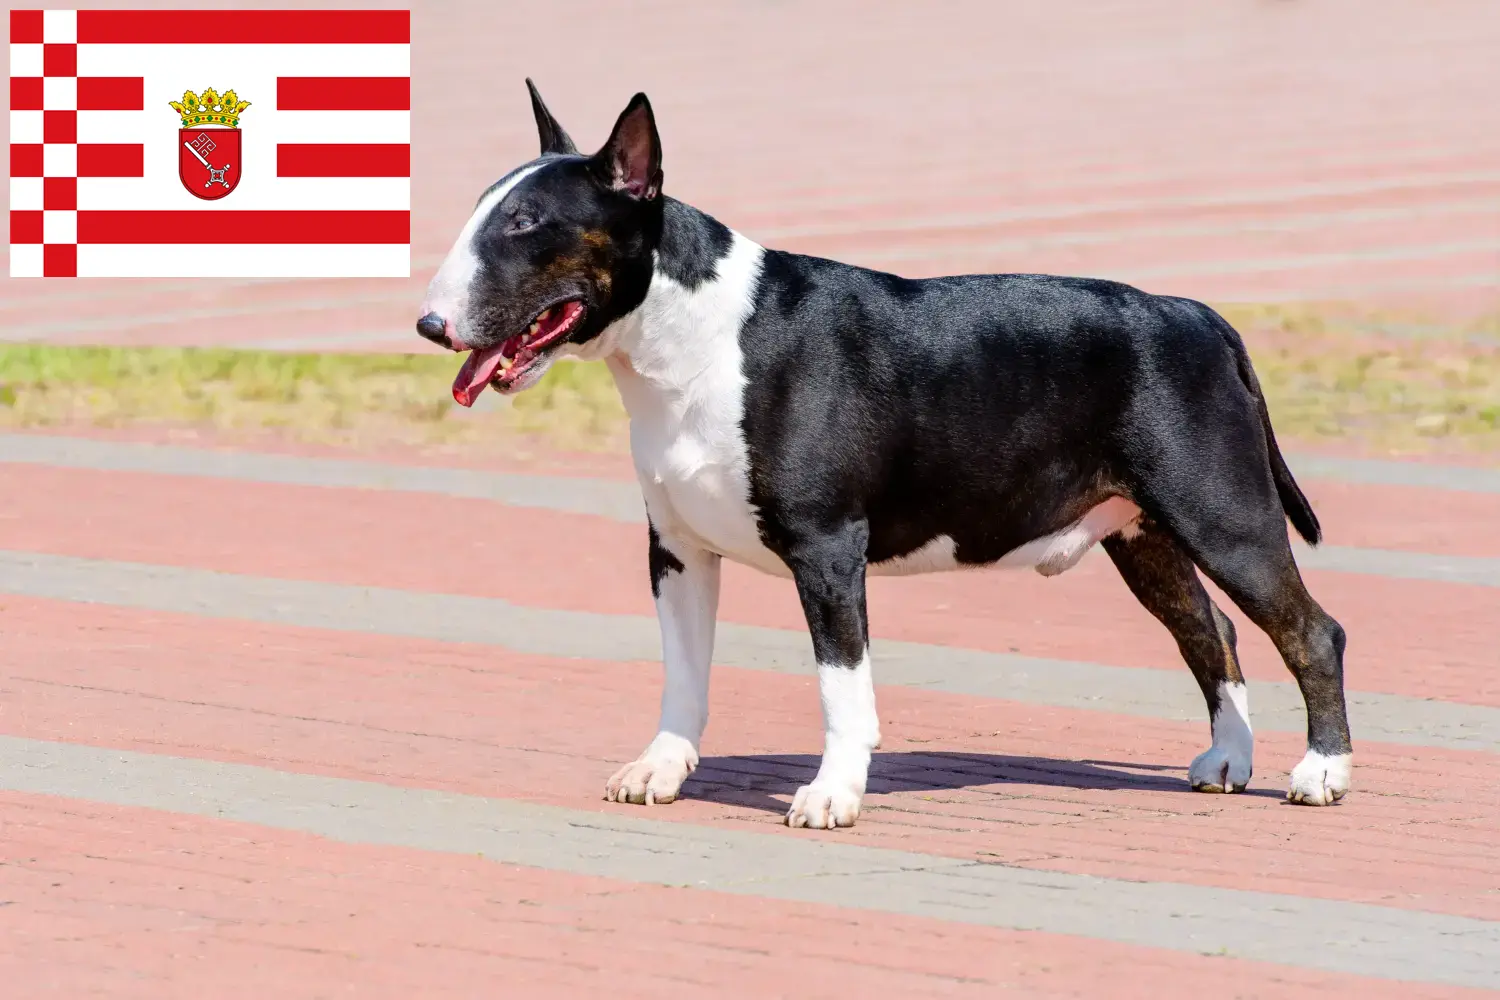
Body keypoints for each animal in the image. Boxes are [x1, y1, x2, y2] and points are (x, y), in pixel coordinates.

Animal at [417, 80, 1356, 827]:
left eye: (527, 223)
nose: (429, 325)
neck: (691, 340)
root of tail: (1204, 316)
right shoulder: (676, 551)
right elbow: (683, 671)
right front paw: (659, 768)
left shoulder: (828, 547)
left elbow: (843, 686)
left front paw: (831, 795)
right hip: (1143, 531)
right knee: (1212, 631)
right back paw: (1228, 761)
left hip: (1221, 514)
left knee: (1311, 630)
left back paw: (1322, 773)